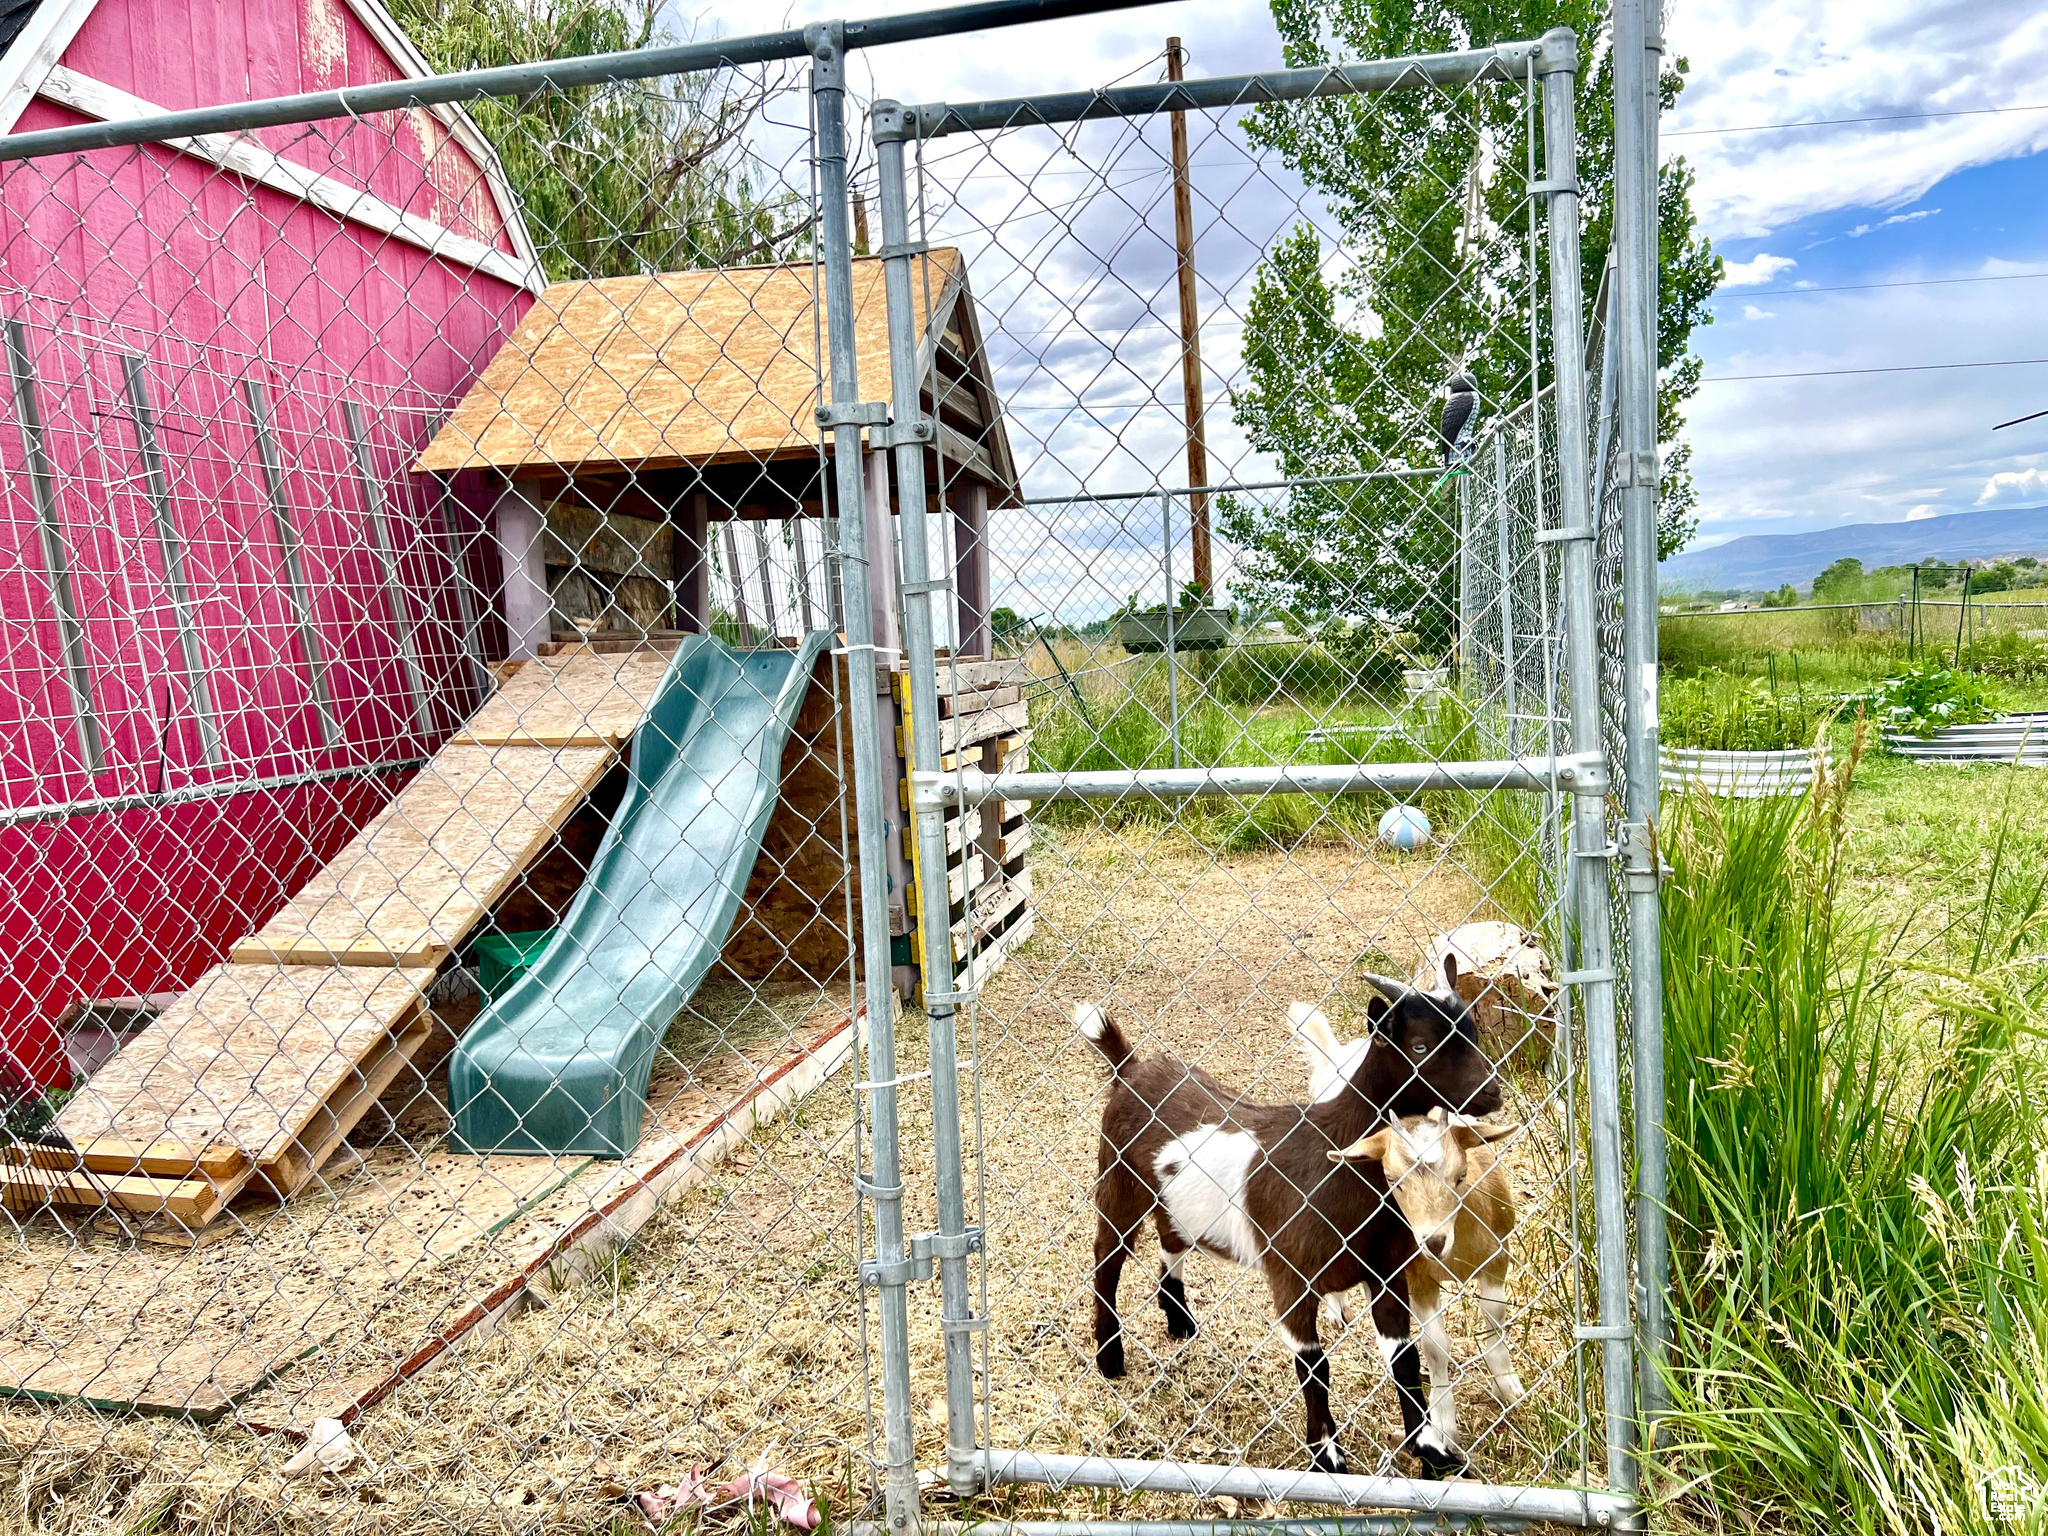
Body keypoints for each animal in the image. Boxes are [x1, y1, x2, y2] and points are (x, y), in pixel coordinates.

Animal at [1073, 974, 1507, 1490]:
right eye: (1420, 1045)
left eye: (1473, 1030)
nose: (1493, 1093)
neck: (1333, 1150)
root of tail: (1130, 1071)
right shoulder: (1292, 1276)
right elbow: (1314, 1364)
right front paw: (1328, 1459)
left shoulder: (1385, 1271)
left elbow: (1404, 1358)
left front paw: (1432, 1453)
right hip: (1118, 1182)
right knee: (1107, 1257)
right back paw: (1109, 1357)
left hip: (1175, 1200)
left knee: (1170, 1239)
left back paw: (1178, 1319)